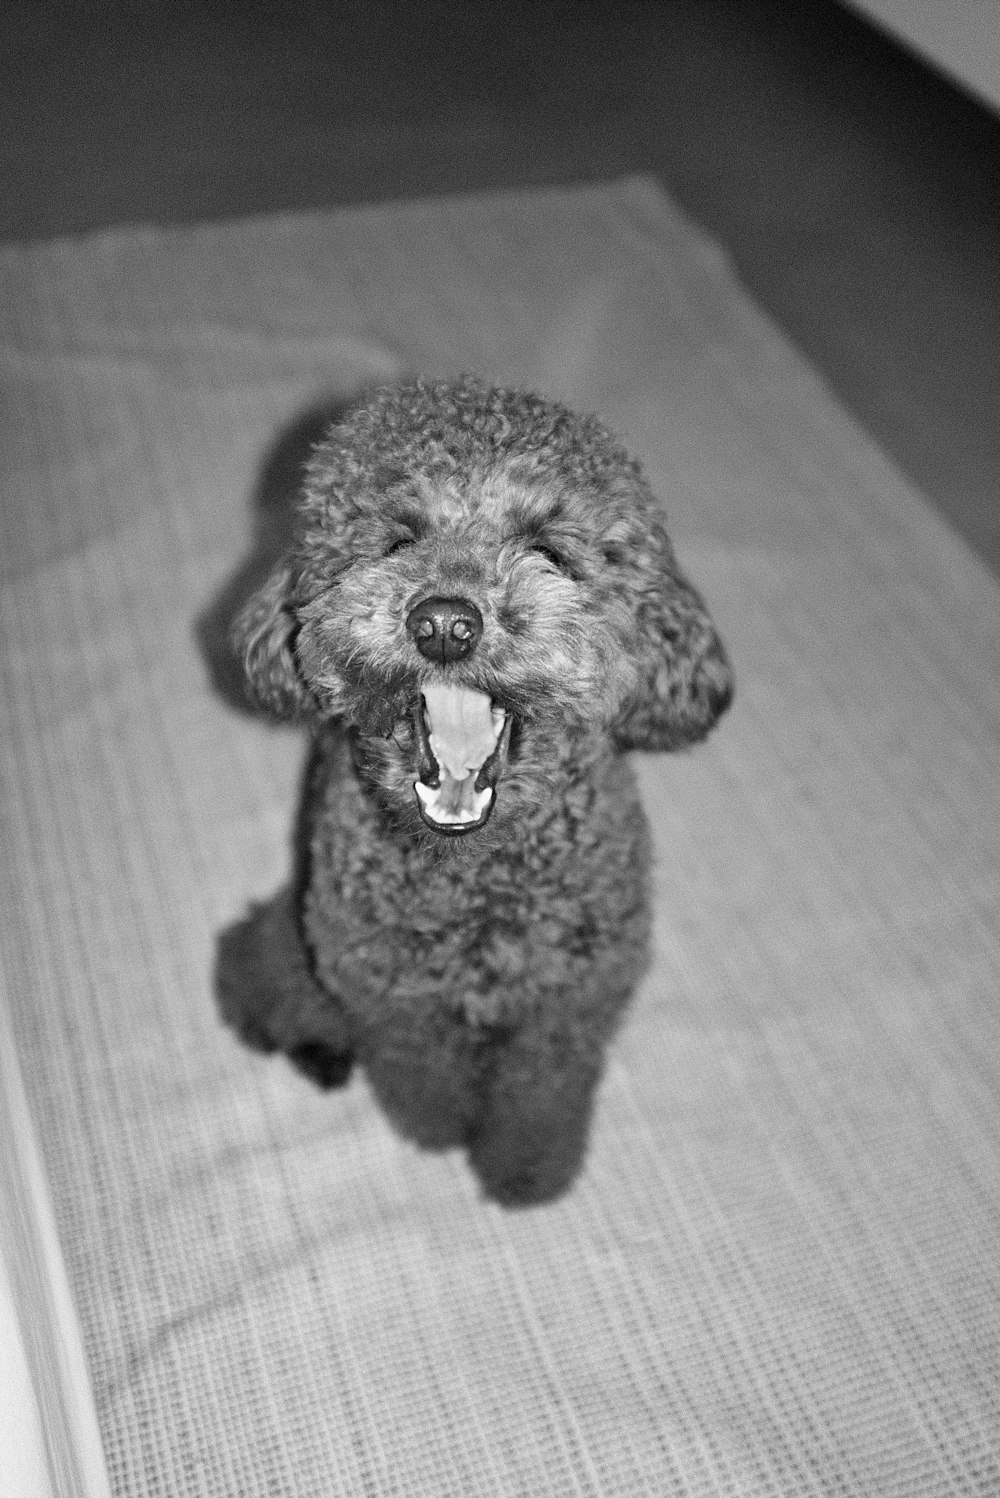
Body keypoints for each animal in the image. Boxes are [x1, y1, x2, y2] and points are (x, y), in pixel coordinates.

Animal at [220, 374, 733, 1204]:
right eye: (396, 540)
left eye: (548, 551)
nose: (443, 624)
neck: (478, 879)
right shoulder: (389, 993)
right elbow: (420, 1079)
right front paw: (438, 1133)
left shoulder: (567, 1005)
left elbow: (540, 1097)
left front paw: (525, 1174)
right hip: (292, 943)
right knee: (259, 976)